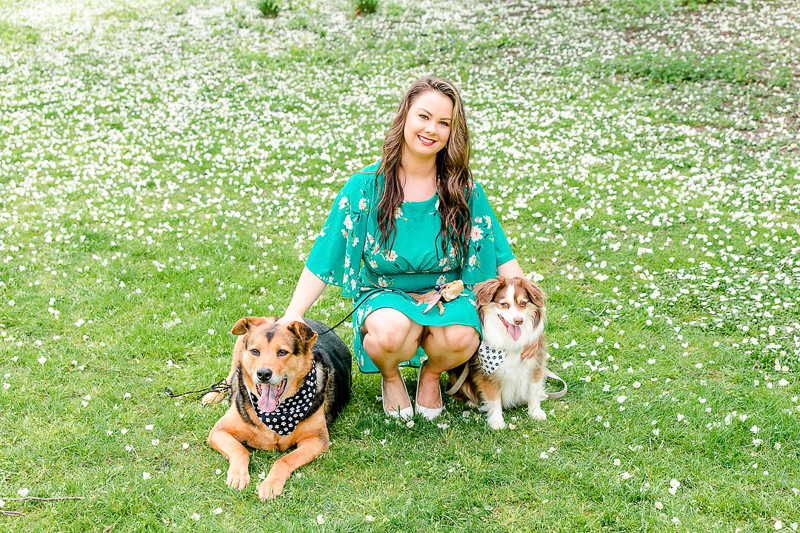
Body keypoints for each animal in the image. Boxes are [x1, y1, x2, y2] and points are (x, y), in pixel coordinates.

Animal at [202, 316, 351, 499]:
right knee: (231, 375)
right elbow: (240, 449)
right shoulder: (218, 431)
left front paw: (271, 483)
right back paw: (213, 394)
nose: (263, 374)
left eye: (282, 352)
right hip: (239, 346)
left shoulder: (317, 440)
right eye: (255, 351)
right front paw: (238, 474)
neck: (276, 415)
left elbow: (284, 459)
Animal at [446, 276, 564, 430]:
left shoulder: (535, 361)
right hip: (456, 373)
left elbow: (533, 389)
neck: (509, 339)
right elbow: (494, 397)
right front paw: (496, 420)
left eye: (523, 303)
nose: (518, 320)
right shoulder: (487, 372)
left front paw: (535, 412)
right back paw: (471, 402)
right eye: (504, 304)